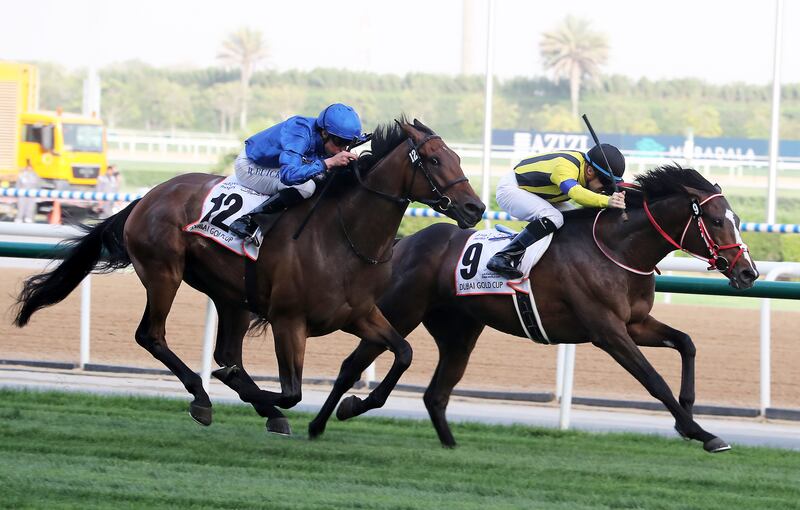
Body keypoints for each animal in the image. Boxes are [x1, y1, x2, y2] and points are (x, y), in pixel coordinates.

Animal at [15, 118, 484, 434]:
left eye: (459, 156)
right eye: (435, 159)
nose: (475, 208)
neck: (343, 236)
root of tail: (148, 196)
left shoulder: (359, 315)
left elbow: (403, 352)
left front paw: (352, 405)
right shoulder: (287, 320)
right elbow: (292, 391)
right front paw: (253, 396)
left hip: (232, 297)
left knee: (225, 350)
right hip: (164, 272)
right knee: (153, 335)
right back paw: (204, 396)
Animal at [310, 165, 760, 452]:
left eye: (738, 219)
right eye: (717, 221)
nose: (748, 272)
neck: (618, 248)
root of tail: (406, 242)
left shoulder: (636, 322)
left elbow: (686, 343)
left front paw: (688, 415)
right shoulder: (607, 331)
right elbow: (654, 381)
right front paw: (702, 433)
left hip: (460, 331)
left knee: (436, 393)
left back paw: (450, 445)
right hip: (401, 311)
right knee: (354, 365)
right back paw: (328, 418)